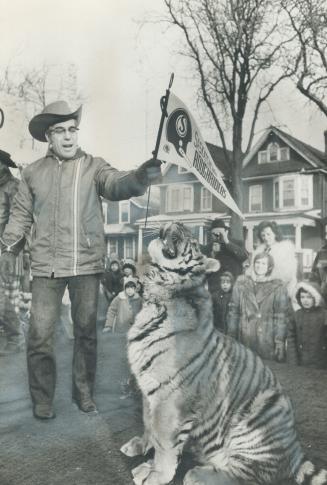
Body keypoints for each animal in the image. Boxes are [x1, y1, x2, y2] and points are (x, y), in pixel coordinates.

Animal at [121, 222, 327, 484]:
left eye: (193, 242)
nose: (178, 223)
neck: (158, 296)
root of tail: (296, 450)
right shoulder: (148, 391)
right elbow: (149, 425)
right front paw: (140, 445)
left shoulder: (169, 399)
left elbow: (164, 442)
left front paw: (156, 473)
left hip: (261, 415)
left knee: (247, 474)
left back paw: (197, 474)